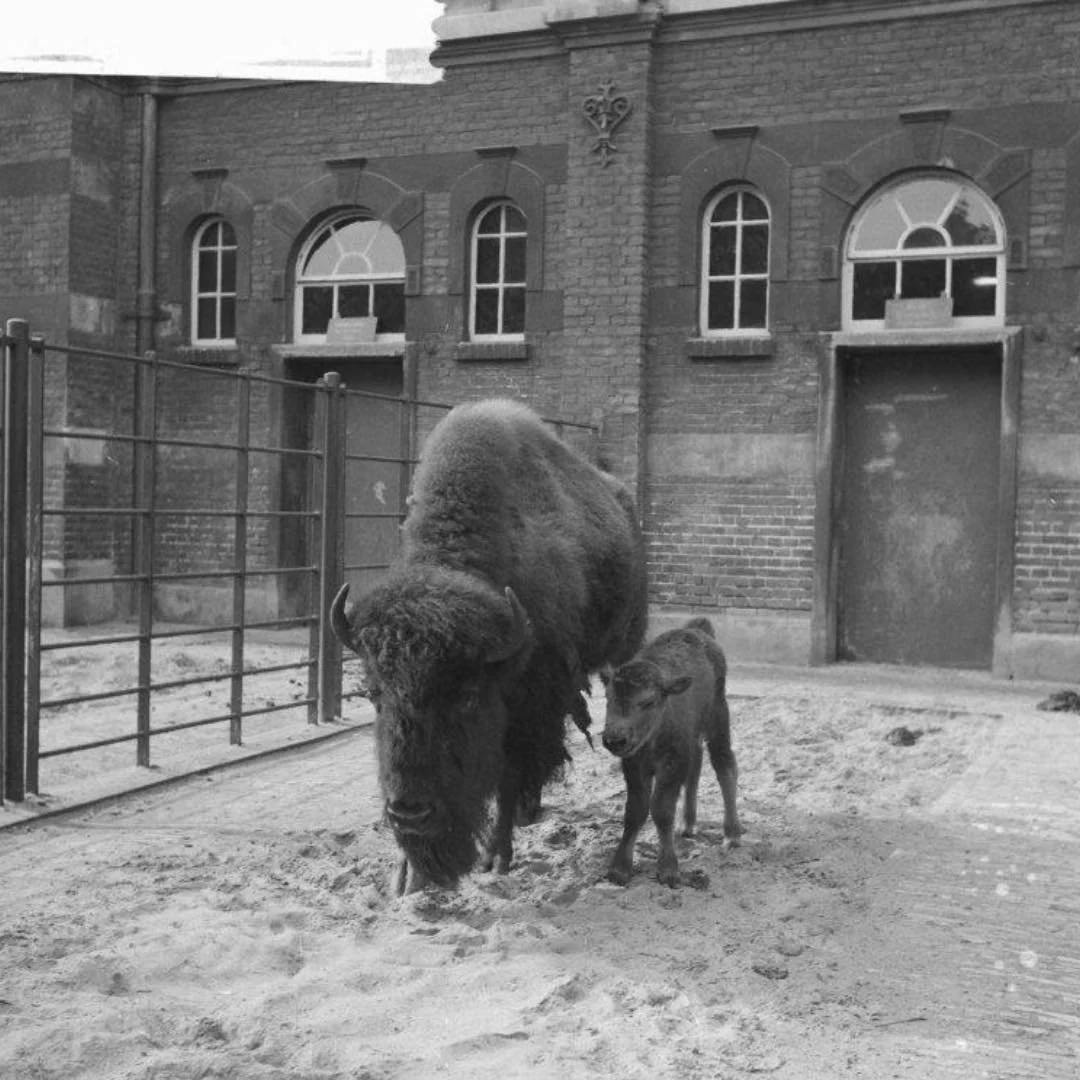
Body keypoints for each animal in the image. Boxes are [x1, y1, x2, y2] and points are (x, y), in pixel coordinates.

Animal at [331, 399, 648, 895]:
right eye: (374, 695)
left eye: (465, 697)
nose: (410, 812)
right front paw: (407, 875)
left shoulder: (528, 706)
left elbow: (508, 775)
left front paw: (495, 857)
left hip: (623, 649)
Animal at [600, 617, 741, 888]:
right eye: (608, 698)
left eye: (648, 701)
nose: (615, 739)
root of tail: (698, 630)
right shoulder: (634, 765)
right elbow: (635, 810)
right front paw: (619, 869)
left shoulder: (672, 764)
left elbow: (662, 809)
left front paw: (668, 870)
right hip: (694, 736)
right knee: (696, 767)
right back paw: (687, 825)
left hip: (718, 717)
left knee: (724, 766)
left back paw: (732, 835)